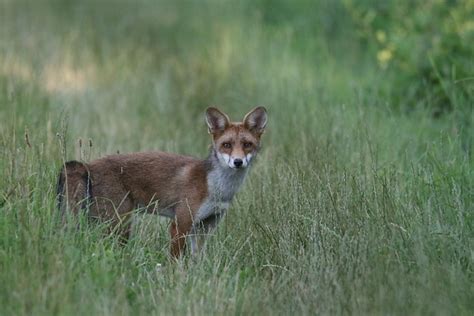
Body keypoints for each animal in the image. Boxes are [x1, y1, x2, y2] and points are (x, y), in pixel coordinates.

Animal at [56, 106, 266, 256]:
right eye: (227, 145)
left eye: (247, 145)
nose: (237, 162)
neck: (216, 188)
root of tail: (87, 165)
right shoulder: (180, 224)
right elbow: (176, 262)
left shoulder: (204, 227)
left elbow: (197, 261)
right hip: (120, 223)